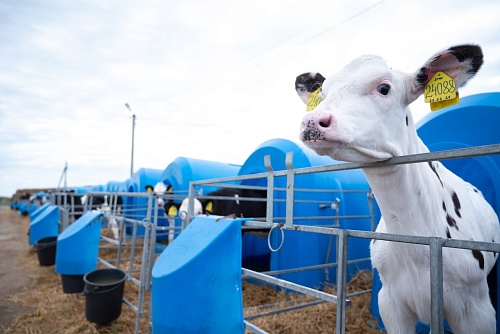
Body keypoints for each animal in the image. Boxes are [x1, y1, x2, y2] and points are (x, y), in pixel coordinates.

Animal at [298, 44, 498, 334]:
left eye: (384, 88)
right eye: (322, 94)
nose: (311, 122)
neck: (415, 239)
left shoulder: (476, 311)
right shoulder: (391, 303)